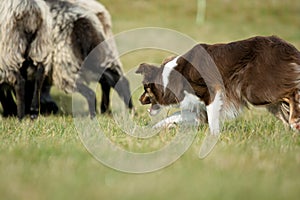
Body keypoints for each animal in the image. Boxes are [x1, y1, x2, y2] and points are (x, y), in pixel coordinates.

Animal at [135, 35, 300, 134]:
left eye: (145, 89)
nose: (139, 99)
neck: (171, 77)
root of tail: (285, 46)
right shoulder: (196, 107)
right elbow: (171, 118)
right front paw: (148, 130)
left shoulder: (213, 93)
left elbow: (212, 121)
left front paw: (213, 138)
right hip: (268, 98)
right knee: (284, 112)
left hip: (256, 90)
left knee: (292, 93)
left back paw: (295, 122)